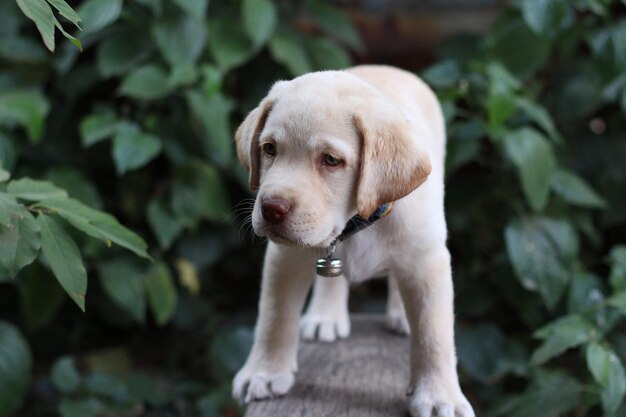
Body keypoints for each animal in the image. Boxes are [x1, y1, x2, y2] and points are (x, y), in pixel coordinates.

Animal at [232, 65, 470, 416]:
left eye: (331, 160)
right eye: (269, 149)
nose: (271, 209)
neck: (356, 219)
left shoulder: (428, 260)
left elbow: (434, 333)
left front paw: (440, 397)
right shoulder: (285, 257)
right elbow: (274, 316)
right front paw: (264, 372)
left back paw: (401, 316)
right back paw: (325, 316)